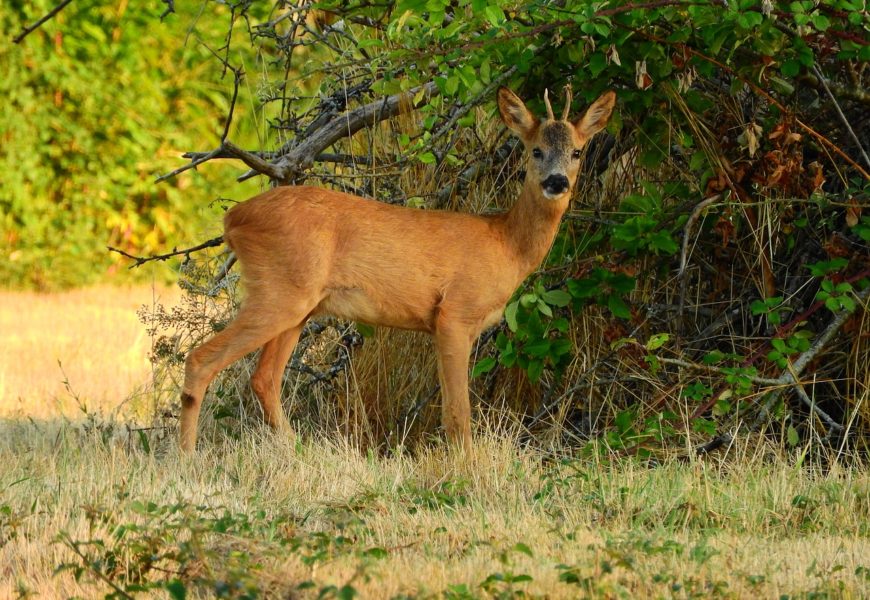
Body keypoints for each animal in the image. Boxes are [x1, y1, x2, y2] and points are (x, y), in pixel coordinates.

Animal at [181, 84, 620, 450]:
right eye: (535, 150)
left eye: (577, 151)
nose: (557, 182)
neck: (505, 245)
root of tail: (233, 220)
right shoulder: (454, 313)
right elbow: (458, 415)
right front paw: (465, 471)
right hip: (279, 291)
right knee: (202, 359)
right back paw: (187, 458)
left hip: (299, 305)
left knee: (264, 378)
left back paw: (298, 451)